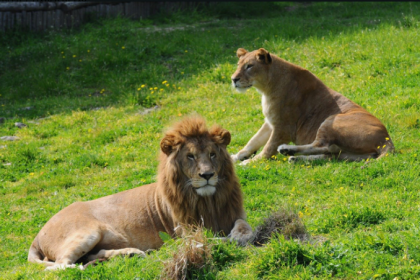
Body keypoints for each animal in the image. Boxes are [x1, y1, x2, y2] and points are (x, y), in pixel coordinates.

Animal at [30, 116, 253, 270]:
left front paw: (240, 235)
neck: (209, 201)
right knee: (60, 266)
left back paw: (129, 254)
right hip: (87, 232)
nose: (207, 175)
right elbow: (205, 240)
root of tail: (37, 235)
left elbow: (243, 227)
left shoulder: (234, 214)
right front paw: (224, 240)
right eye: (190, 156)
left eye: (212, 154)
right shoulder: (185, 230)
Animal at [231, 47, 392, 163]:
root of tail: (386, 139)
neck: (266, 88)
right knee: (330, 153)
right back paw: (294, 157)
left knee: (323, 145)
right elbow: (253, 141)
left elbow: (268, 148)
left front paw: (249, 163)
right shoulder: (270, 122)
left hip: (332, 120)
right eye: (238, 65)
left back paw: (287, 150)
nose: (233, 79)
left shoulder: (284, 128)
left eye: (249, 66)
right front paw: (235, 157)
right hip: (348, 153)